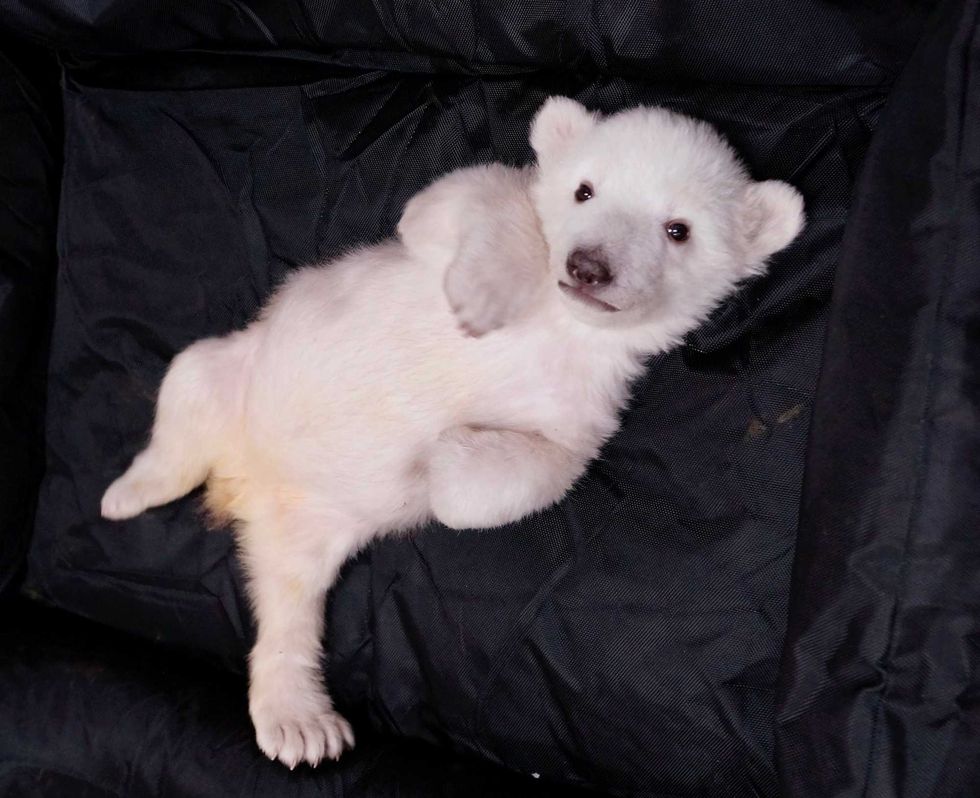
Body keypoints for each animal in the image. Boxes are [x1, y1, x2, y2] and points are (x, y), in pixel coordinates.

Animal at [100, 96, 805, 768]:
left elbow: (526, 473)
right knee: (189, 385)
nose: (589, 267)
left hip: (314, 522)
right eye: (585, 190)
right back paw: (129, 492)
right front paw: (485, 295)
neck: (565, 329)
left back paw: (301, 722)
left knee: (289, 599)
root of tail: (242, 480)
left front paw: (442, 460)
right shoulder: (443, 231)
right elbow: (460, 201)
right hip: (242, 371)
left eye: (678, 230)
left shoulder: (585, 408)